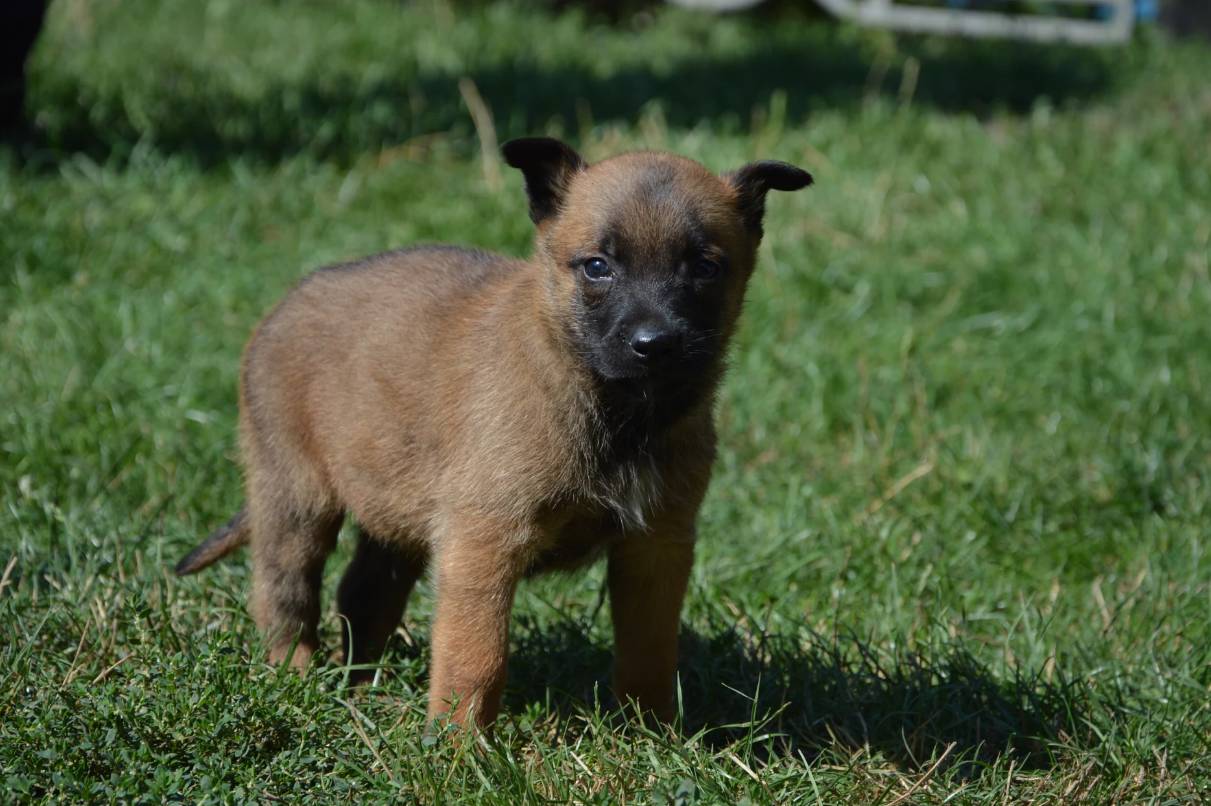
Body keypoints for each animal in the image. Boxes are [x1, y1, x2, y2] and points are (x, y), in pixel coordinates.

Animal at [176, 134, 813, 726]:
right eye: (598, 267)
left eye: (704, 268)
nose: (653, 344)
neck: (609, 409)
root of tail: (281, 309)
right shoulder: (482, 545)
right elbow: (476, 658)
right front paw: (456, 748)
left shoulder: (656, 547)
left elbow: (649, 653)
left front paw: (652, 734)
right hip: (295, 500)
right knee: (284, 596)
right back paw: (300, 679)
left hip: (393, 510)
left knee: (363, 595)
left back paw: (363, 685)